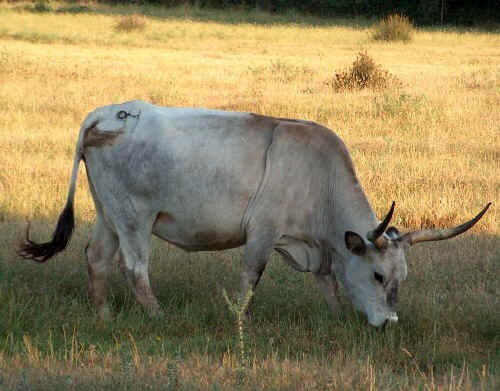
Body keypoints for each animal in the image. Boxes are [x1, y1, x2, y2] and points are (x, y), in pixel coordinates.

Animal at [18, 100, 488, 328]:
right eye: (377, 275)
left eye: (401, 278)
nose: (388, 323)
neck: (319, 178)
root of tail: (104, 114)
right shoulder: (263, 233)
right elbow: (251, 277)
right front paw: (239, 321)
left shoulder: (317, 249)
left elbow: (328, 281)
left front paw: (337, 316)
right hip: (135, 216)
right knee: (134, 269)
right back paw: (157, 316)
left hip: (109, 212)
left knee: (97, 259)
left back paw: (104, 315)